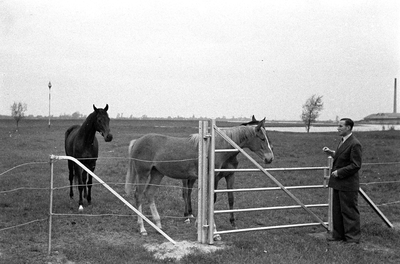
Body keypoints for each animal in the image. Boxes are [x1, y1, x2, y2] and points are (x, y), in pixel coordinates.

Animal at [126, 118, 276, 236]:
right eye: (262, 138)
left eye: (268, 138)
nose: (270, 158)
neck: (214, 148)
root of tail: (137, 141)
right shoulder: (212, 177)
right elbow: (211, 200)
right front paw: (214, 232)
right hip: (143, 173)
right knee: (139, 195)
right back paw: (142, 228)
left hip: (157, 173)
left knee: (149, 194)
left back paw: (158, 226)